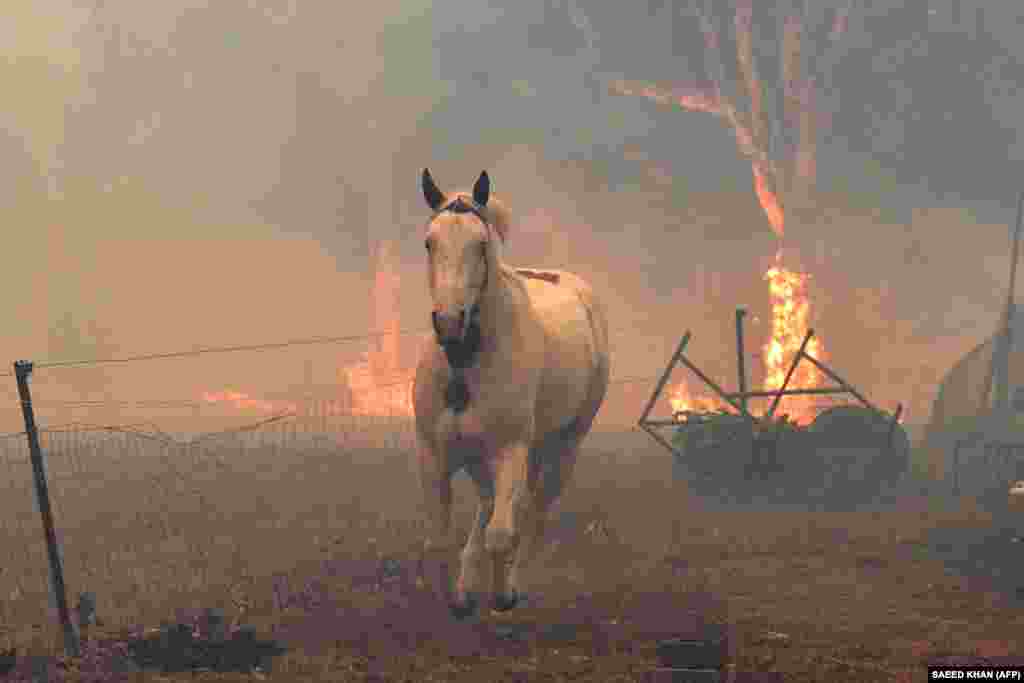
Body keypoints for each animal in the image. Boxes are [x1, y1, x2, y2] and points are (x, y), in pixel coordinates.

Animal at [413, 167, 606, 618]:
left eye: (480, 245)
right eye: (430, 242)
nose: (449, 323)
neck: (465, 365)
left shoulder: (511, 449)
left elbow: (502, 533)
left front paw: (501, 596)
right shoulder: (437, 454)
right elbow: (441, 537)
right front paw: (458, 597)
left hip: (563, 446)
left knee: (533, 513)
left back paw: (514, 583)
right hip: (481, 457)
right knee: (489, 505)